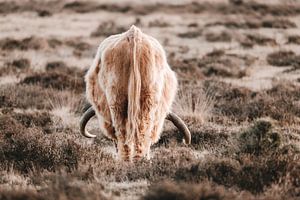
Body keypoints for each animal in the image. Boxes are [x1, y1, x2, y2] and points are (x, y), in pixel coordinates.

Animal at [80, 25, 190, 162]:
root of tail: (133, 35)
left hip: (121, 99)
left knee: (126, 130)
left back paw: (129, 159)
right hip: (144, 99)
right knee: (139, 129)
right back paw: (137, 159)